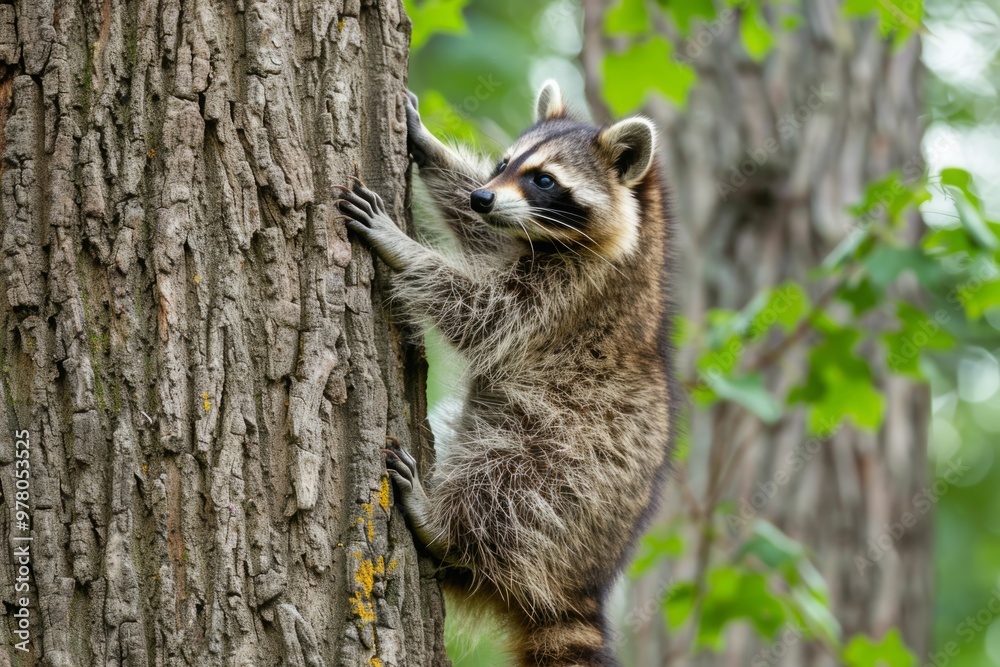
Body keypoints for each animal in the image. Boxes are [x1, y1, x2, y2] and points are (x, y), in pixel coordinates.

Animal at [338, 80, 677, 667]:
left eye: (544, 179)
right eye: (502, 164)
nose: (484, 197)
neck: (643, 214)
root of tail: (581, 585)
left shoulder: (575, 290)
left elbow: (483, 313)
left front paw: (402, 248)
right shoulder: (517, 235)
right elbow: (481, 236)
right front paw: (428, 148)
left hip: (571, 462)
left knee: (509, 486)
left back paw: (446, 527)